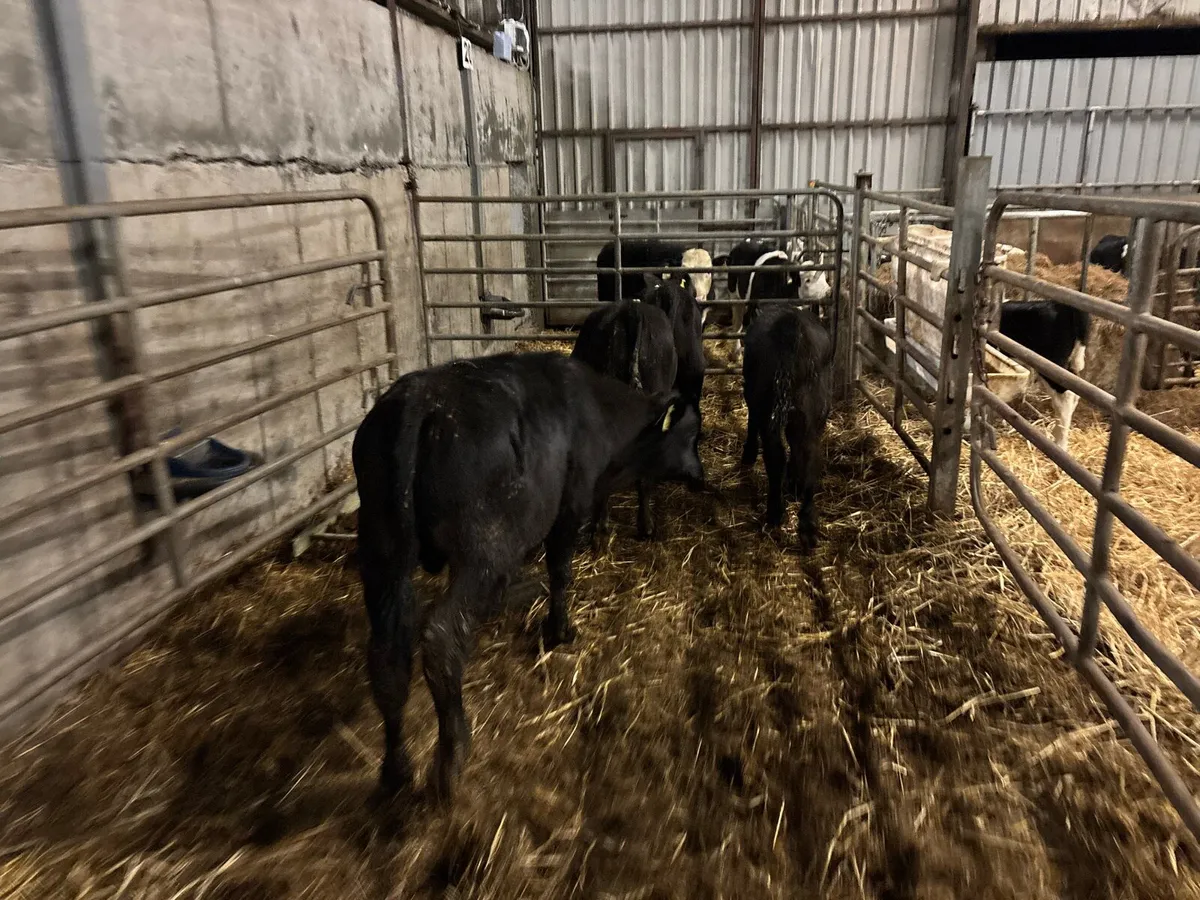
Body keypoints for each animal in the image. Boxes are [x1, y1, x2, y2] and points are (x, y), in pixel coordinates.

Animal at [352, 352, 704, 801]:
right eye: (691, 435)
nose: (700, 476)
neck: (598, 413)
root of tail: (422, 398)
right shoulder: (569, 507)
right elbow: (560, 571)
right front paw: (559, 630)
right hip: (482, 549)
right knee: (441, 636)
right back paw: (452, 756)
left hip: (382, 551)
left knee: (387, 656)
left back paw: (395, 771)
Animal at [741, 305, 834, 551]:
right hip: (810, 414)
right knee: (807, 454)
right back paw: (806, 524)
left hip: (771, 408)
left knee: (778, 454)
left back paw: (777, 511)